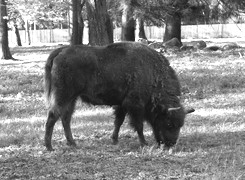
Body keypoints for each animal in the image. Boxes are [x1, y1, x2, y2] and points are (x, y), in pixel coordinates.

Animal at [43, 41, 193, 150]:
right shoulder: (135, 105)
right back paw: (49, 147)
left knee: (65, 118)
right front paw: (144, 143)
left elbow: (118, 122)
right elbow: (138, 125)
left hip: (72, 99)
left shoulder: (122, 105)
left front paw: (114, 140)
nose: (171, 143)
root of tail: (60, 52)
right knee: (53, 116)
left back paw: (72, 143)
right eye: (168, 123)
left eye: (181, 125)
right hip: (63, 96)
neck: (153, 74)